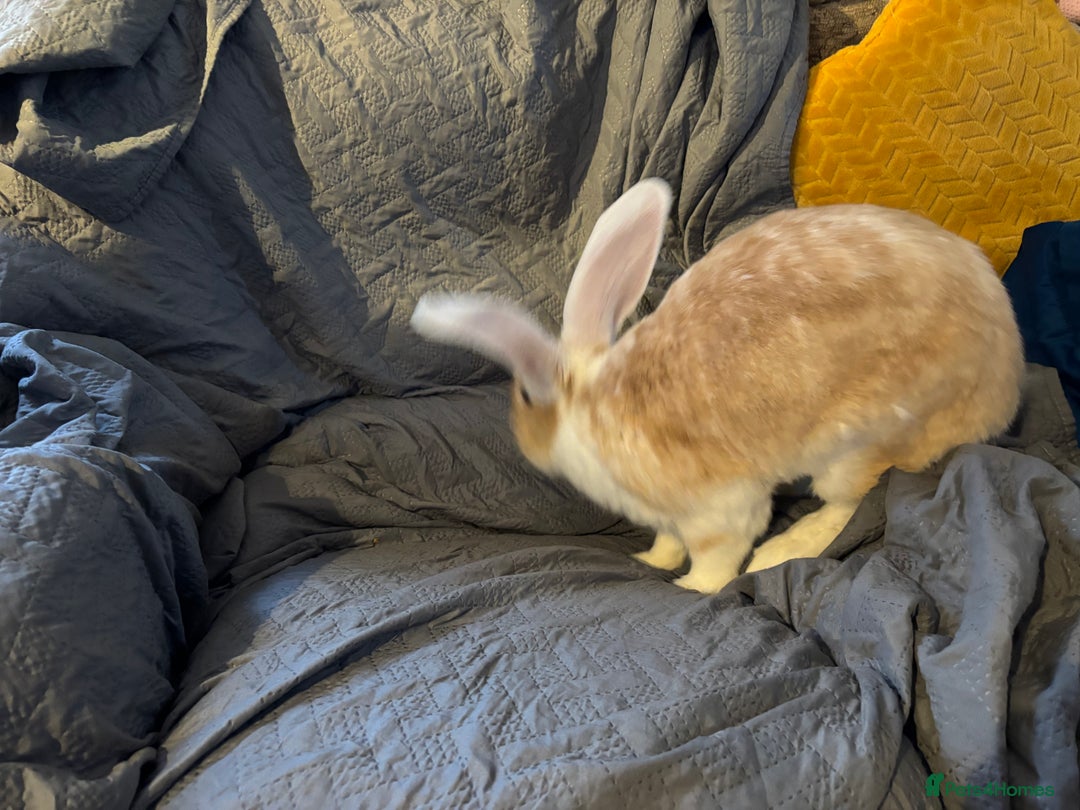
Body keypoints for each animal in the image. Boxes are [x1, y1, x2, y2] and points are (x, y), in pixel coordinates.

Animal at [410, 178, 1024, 593]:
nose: (524, 442)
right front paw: (650, 562)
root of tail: (1006, 385)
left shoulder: (719, 508)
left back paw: (783, 551)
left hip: (859, 442)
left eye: (525, 395)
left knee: (848, 504)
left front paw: (688, 587)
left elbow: (715, 558)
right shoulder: (669, 516)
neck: (595, 401)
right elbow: (668, 541)